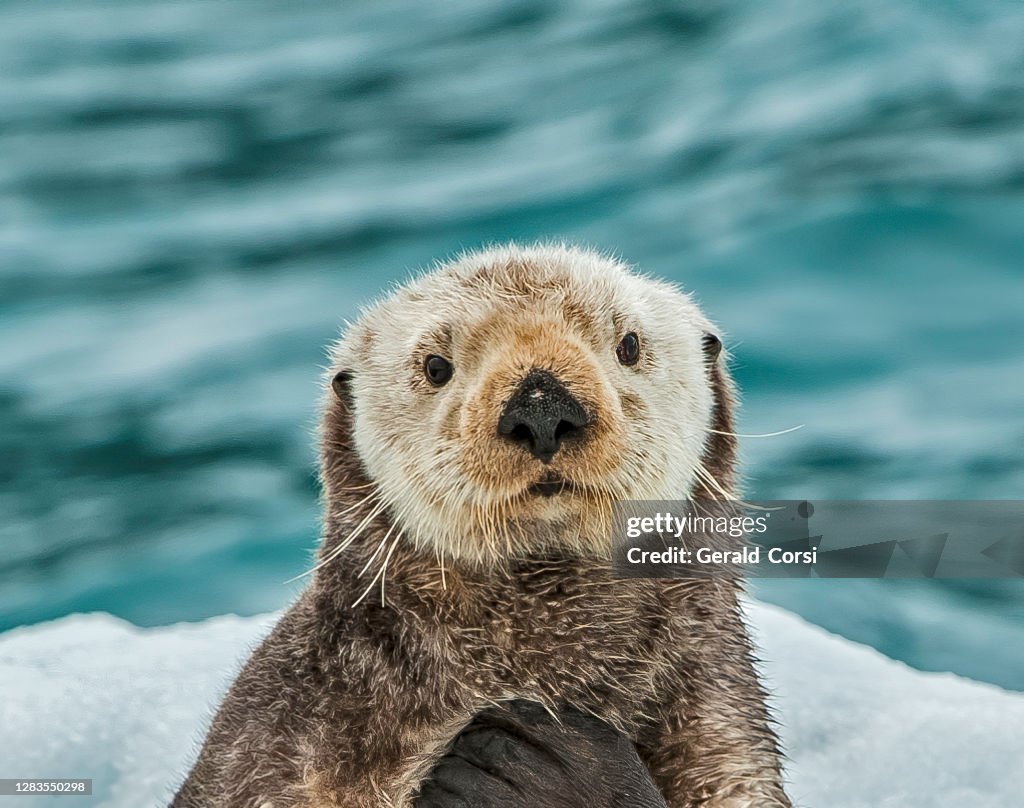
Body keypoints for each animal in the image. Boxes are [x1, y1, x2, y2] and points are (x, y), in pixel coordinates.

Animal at [171, 244, 791, 807]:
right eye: (435, 367)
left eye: (630, 345)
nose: (541, 407)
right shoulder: (280, 737)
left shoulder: (720, 733)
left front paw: (541, 760)